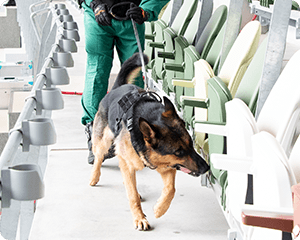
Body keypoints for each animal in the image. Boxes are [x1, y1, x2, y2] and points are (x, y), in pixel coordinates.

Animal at [90, 53, 210, 231]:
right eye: (179, 152)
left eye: (190, 145)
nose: (206, 168)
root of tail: (118, 88)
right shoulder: (127, 162)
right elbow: (132, 195)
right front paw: (139, 218)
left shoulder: (167, 166)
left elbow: (171, 189)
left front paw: (160, 209)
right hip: (104, 140)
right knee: (99, 156)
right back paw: (94, 177)